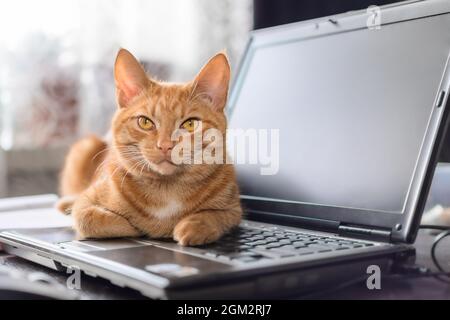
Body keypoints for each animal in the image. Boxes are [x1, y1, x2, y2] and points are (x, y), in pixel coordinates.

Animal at [58, 49, 244, 245]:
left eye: (190, 124)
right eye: (145, 122)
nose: (165, 146)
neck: (167, 190)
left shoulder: (234, 209)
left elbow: (215, 215)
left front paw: (194, 226)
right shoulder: (85, 203)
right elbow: (92, 219)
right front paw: (139, 228)